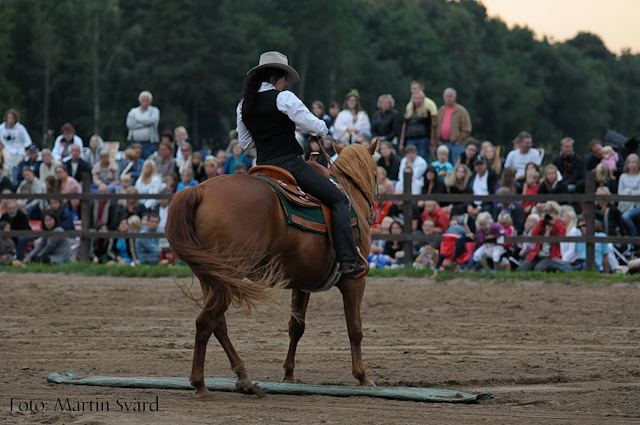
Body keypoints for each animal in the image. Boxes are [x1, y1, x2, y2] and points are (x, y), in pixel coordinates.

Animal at [166, 141, 380, 396]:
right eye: (376, 174)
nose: (373, 213)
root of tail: (199, 191)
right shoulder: (355, 280)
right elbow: (355, 329)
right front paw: (363, 376)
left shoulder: (302, 284)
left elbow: (296, 326)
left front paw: (289, 374)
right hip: (228, 275)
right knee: (205, 322)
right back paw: (200, 383)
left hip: (211, 278)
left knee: (218, 324)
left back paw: (243, 376)